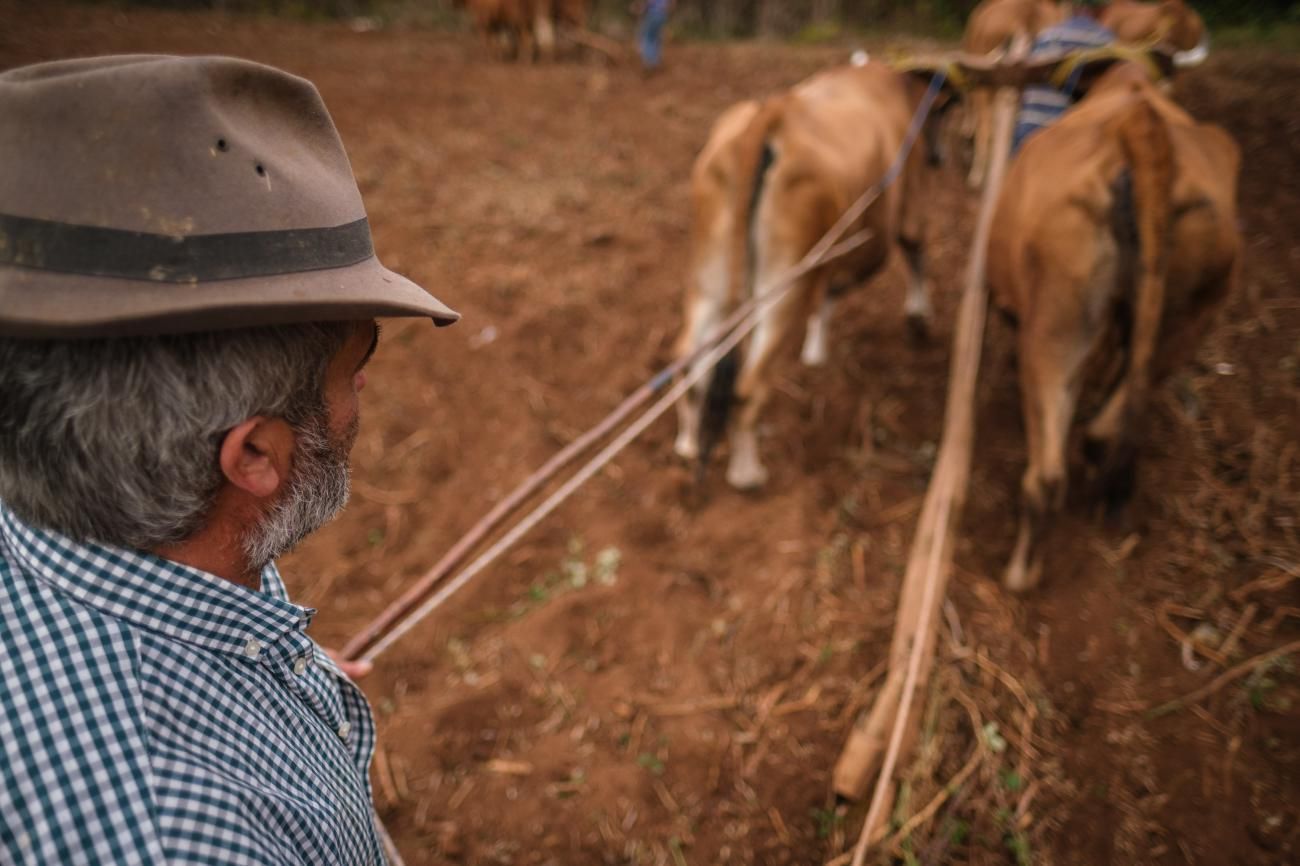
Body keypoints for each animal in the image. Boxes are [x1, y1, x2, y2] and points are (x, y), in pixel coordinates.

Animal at [982, 60, 1237, 587]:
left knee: (1048, 475)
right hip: (1190, 313)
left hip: (1057, 326)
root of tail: (1141, 128)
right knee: (1108, 428)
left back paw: (1020, 573)